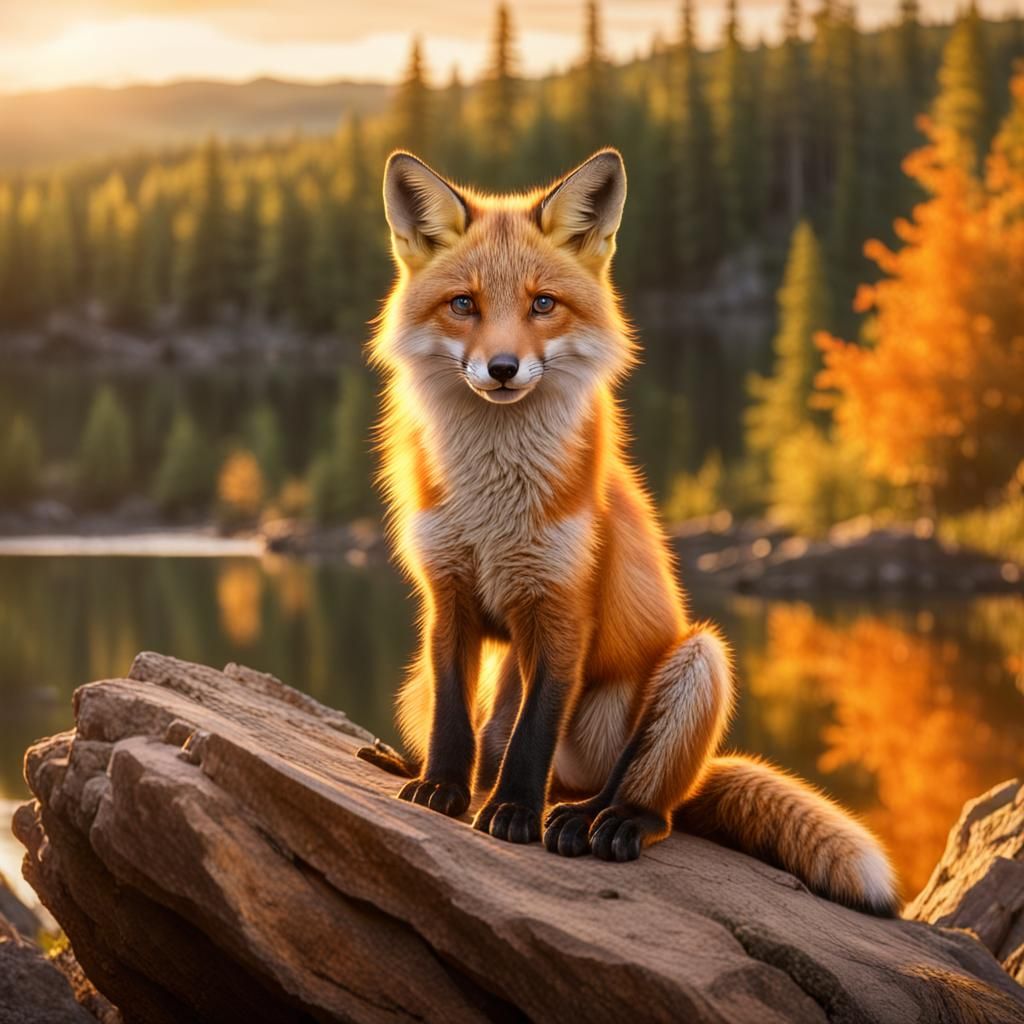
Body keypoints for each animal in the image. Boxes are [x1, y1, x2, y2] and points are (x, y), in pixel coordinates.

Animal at [356, 148, 899, 916]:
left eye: (542, 304)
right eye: (464, 304)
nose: (502, 368)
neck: (493, 506)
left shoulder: (562, 606)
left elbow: (530, 733)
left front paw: (511, 813)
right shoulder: (447, 596)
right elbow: (459, 724)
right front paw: (444, 789)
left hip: (700, 663)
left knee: (649, 804)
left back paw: (595, 823)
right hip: (415, 680)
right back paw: (415, 764)